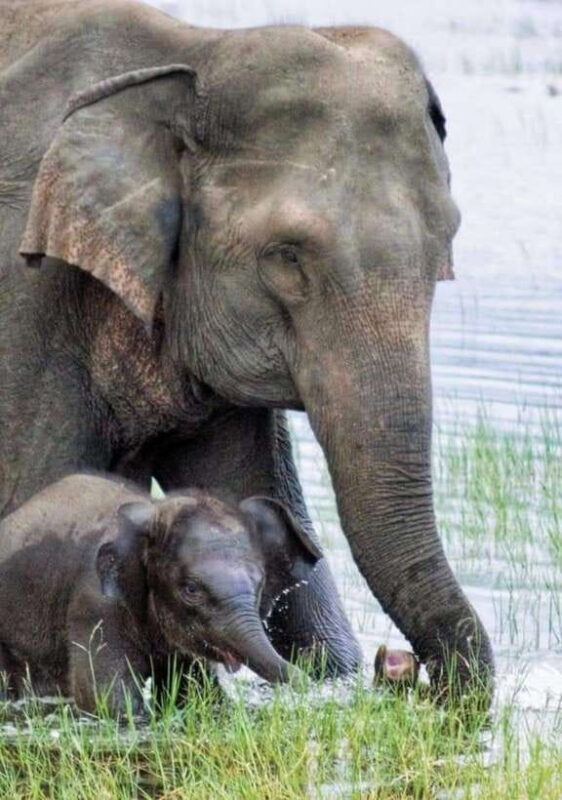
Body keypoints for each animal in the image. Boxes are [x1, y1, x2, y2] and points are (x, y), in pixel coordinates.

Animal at [0, 472, 322, 712]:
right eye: (191, 589)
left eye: (260, 584)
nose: (306, 679)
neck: (156, 510)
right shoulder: (93, 604)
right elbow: (105, 700)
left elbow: (196, 695)